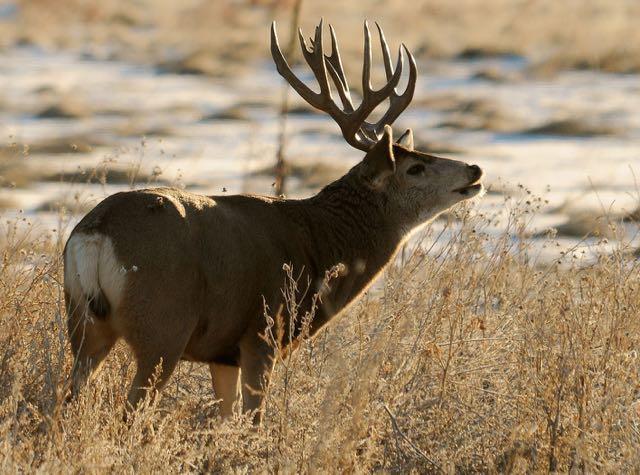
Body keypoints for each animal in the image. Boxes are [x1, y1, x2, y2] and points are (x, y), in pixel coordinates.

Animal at [63, 20, 484, 426]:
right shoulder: (261, 334)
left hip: (82, 321)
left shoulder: (223, 353)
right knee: (129, 410)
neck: (319, 242)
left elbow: (225, 419)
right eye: (415, 168)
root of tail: (96, 232)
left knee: (65, 400)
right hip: (163, 324)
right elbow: (252, 421)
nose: (475, 169)